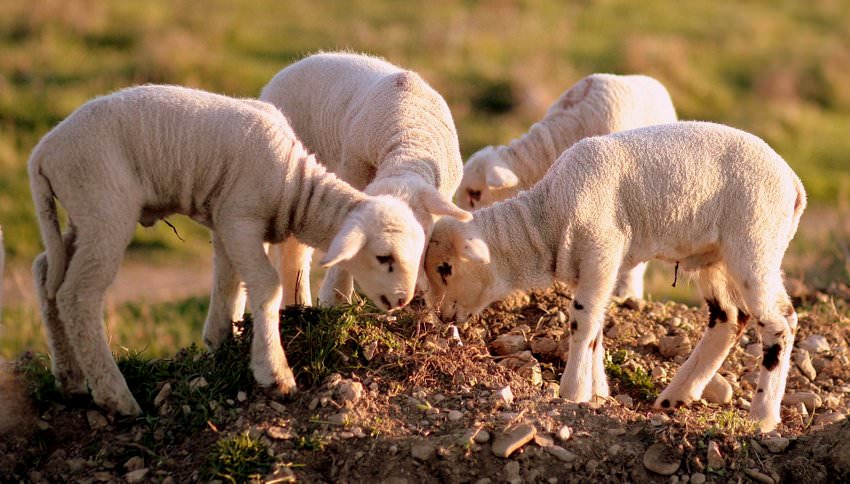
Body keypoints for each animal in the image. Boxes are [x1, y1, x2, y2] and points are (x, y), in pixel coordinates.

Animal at [30, 84, 428, 416]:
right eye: (384, 258)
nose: (402, 300)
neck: (295, 188)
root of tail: (43, 151)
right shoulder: (240, 216)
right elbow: (266, 285)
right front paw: (274, 372)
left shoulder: (225, 220)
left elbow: (228, 279)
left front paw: (221, 339)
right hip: (103, 207)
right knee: (77, 294)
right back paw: (115, 397)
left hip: (82, 216)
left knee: (46, 273)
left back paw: (69, 379)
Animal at [260, 52, 470, 306]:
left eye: (423, 233)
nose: (412, 296)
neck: (409, 141)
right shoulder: (353, 171)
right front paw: (335, 299)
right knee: (294, 255)